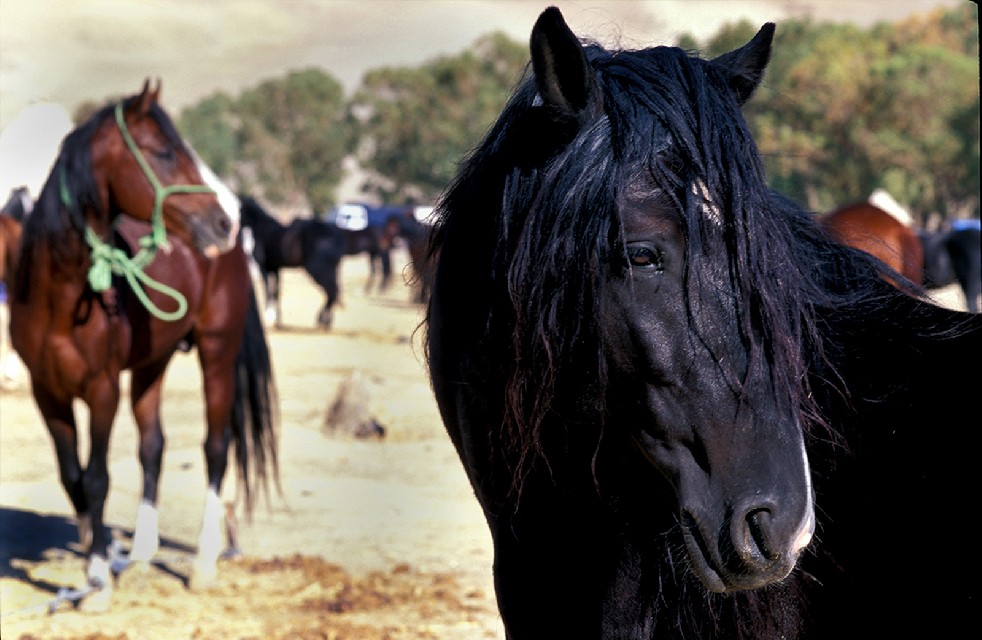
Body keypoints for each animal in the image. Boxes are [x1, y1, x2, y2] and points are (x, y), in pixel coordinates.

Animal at [10, 82, 280, 612]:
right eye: (163, 152)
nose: (222, 222)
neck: (63, 299)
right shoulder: (46, 392)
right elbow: (72, 478)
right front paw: (98, 562)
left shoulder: (101, 390)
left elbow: (96, 478)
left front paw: (96, 581)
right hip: (152, 364)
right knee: (153, 446)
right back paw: (138, 557)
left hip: (217, 353)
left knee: (216, 448)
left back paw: (203, 565)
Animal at [238, 195, 346, 330]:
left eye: (240, 211)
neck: (262, 229)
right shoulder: (275, 268)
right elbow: (276, 292)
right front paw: (277, 321)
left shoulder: (264, 268)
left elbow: (268, 291)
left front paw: (269, 319)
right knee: (332, 292)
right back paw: (326, 322)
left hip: (318, 269)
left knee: (331, 291)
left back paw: (322, 321)